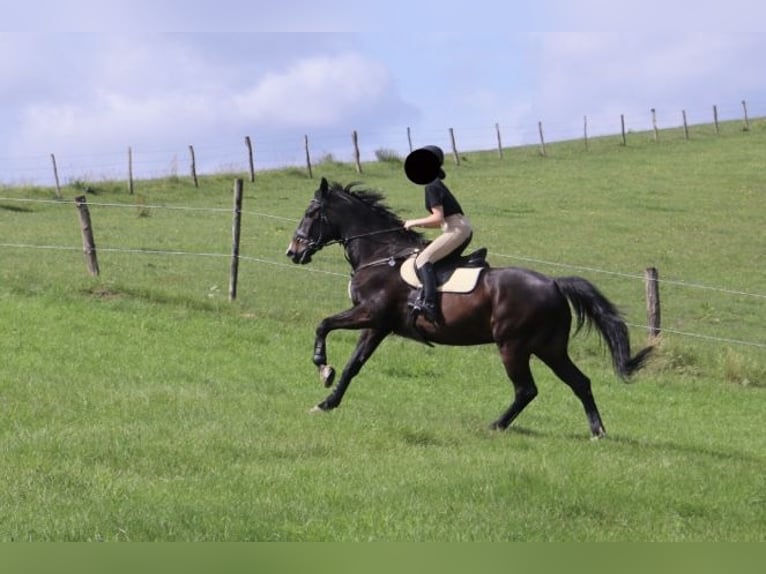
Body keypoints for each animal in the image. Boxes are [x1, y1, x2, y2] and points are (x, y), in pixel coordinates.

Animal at [288, 178, 656, 438]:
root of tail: (553, 283)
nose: (293, 252)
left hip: (514, 345)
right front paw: (326, 402)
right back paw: (597, 431)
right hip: (549, 347)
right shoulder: (377, 326)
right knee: (580, 383)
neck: (380, 254)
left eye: (310, 214)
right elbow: (354, 365)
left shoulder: (370, 315)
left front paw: (322, 367)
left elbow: (323, 324)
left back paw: (496, 426)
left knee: (526, 389)